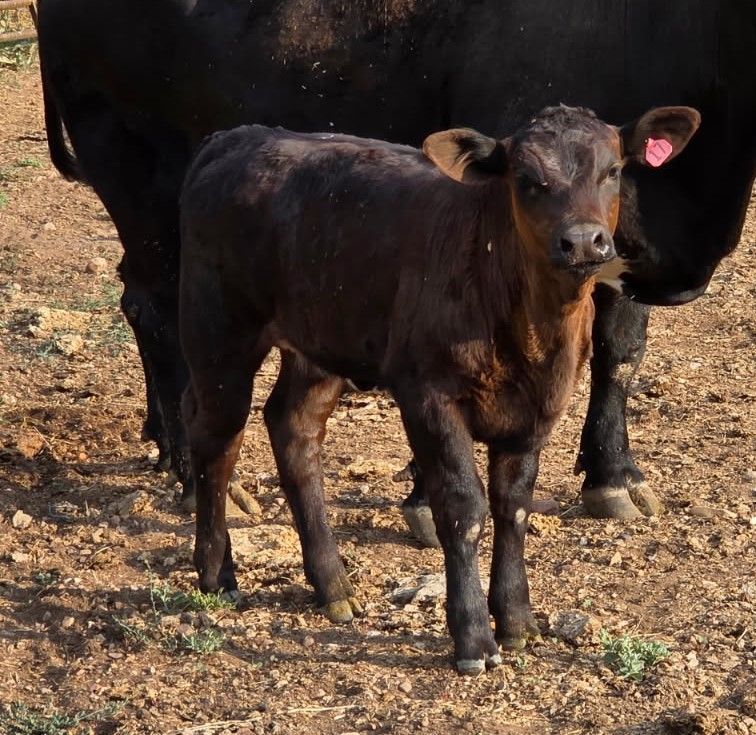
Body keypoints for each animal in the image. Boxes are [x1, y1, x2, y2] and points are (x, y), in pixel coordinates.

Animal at [37, 0, 756, 526]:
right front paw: (427, 500)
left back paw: (163, 439)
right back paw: (195, 472)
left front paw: (614, 476)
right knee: (160, 311)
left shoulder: (621, 238)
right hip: (134, 172)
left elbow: (619, 354)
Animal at [179, 105, 700, 673]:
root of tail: (238, 138)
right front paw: (473, 638)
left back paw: (332, 585)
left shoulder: (538, 406)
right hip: (220, 332)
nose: (583, 240)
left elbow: (513, 507)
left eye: (613, 170)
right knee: (217, 440)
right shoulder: (428, 395)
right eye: (527, 179)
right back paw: (218, 574)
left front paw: (517, 621)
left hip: (320, 338)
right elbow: (462, 508)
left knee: (292, 427)